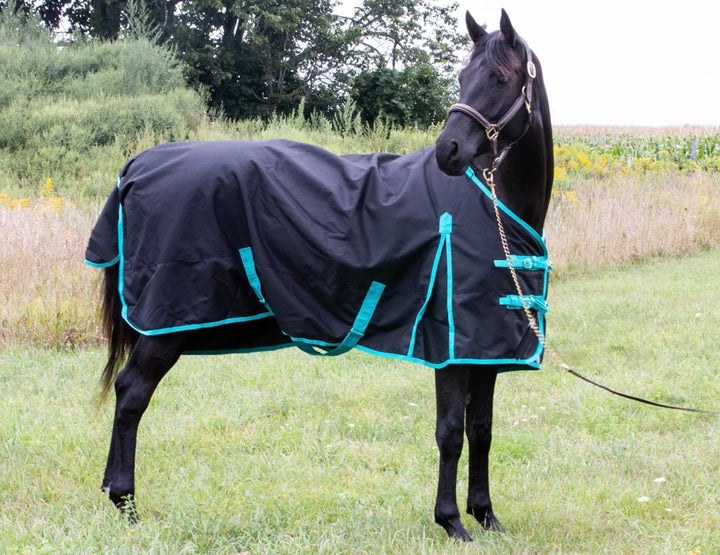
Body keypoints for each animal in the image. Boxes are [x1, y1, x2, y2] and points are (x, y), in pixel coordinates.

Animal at [86, 10, 552, 542]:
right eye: (460, 77)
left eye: (498, 78)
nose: (448, 151)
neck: (492, 202)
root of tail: (138, 165)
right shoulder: (452, 349)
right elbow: (450, 432)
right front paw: (452, 521)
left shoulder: (486, 351)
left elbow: (482, 429)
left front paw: (486, 514)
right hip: (165, 323)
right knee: (131, 394)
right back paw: (126, 503)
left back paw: (113, 493)